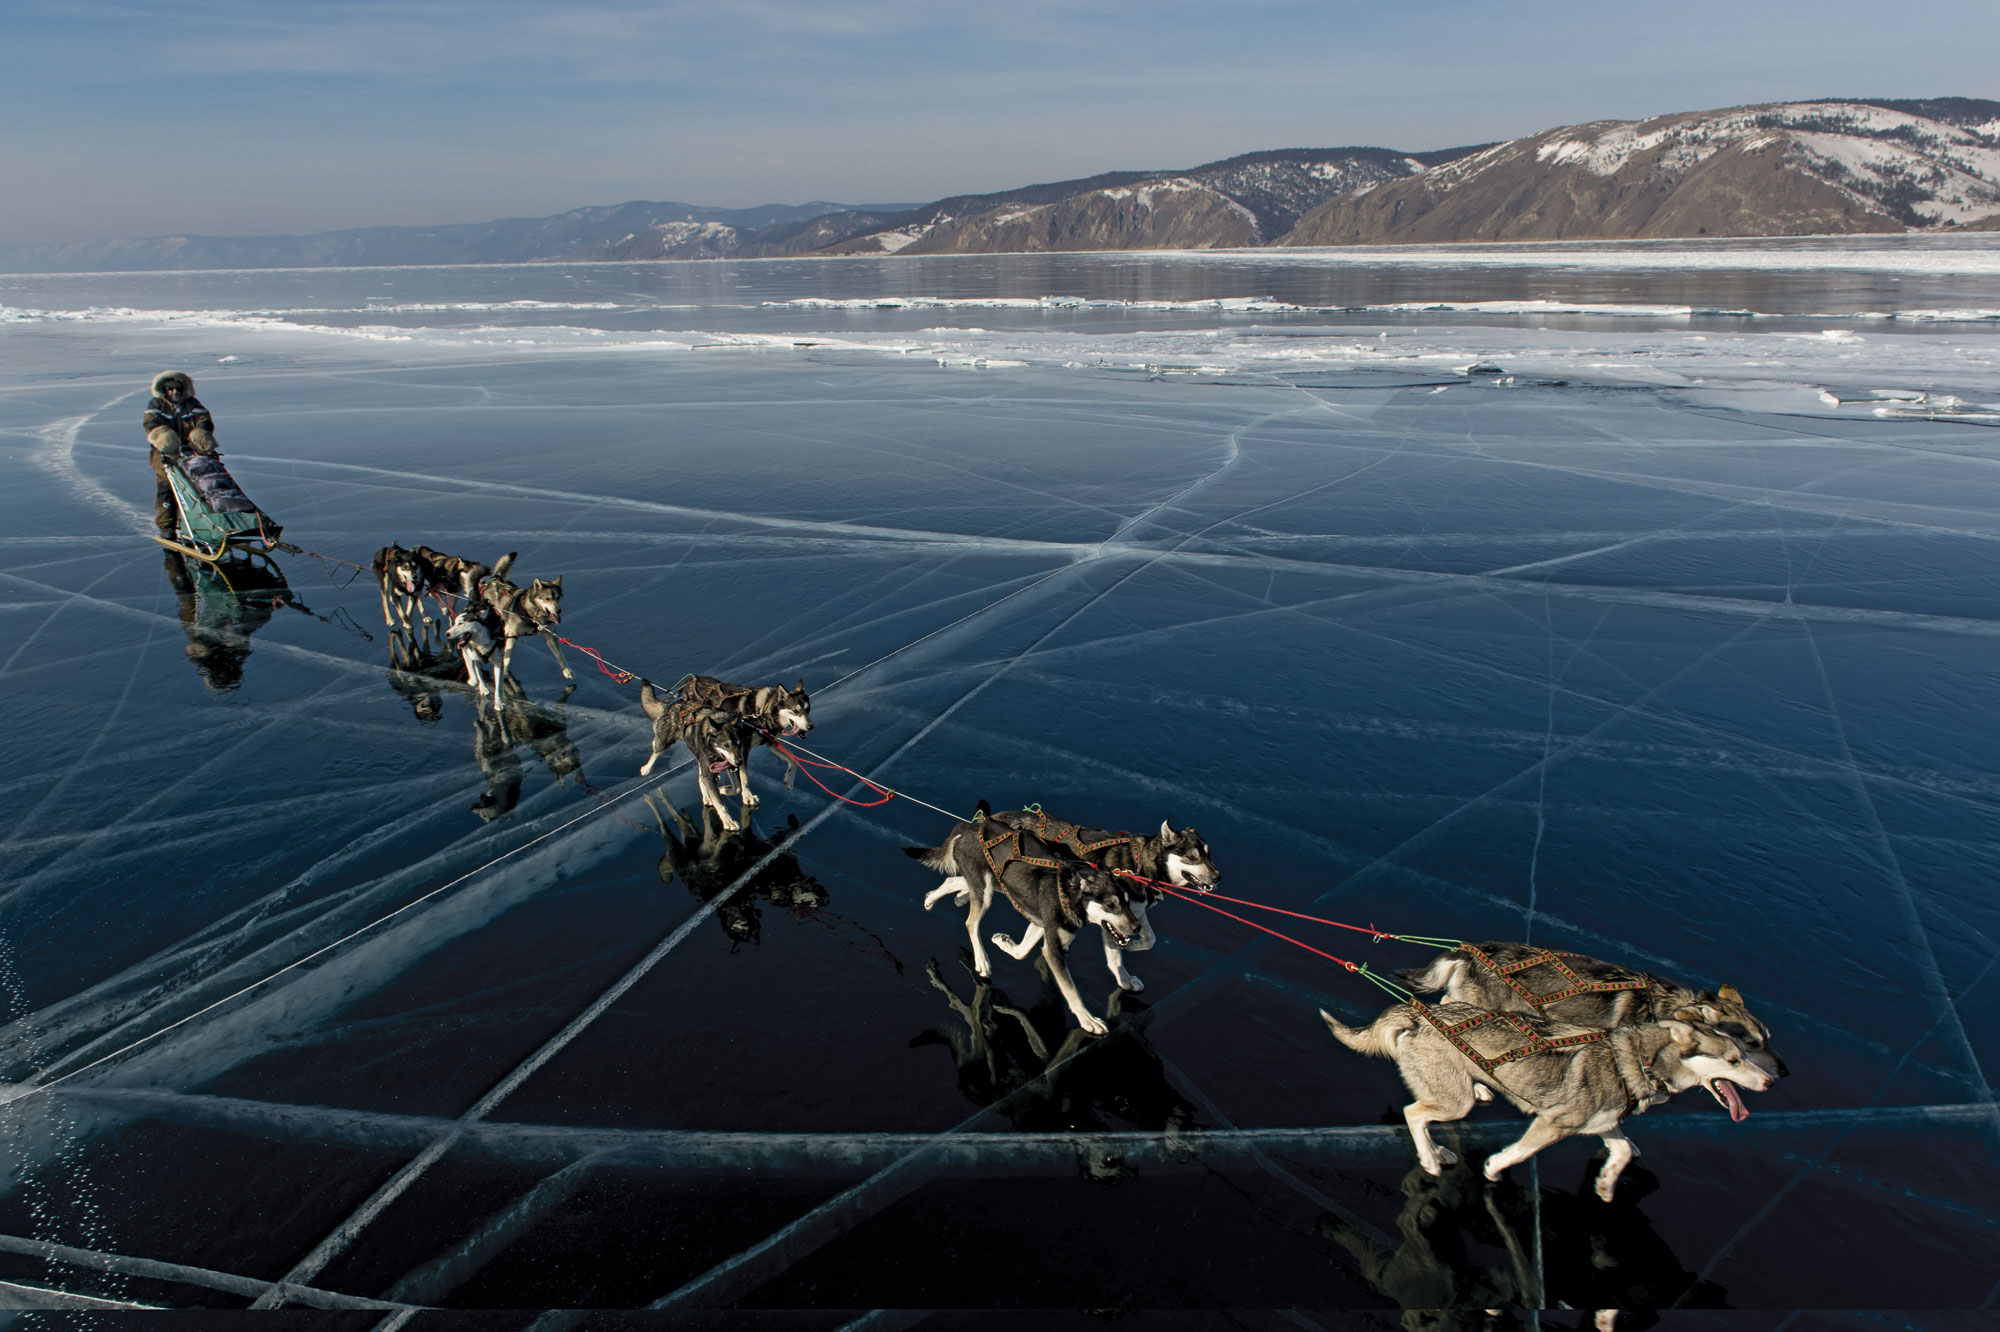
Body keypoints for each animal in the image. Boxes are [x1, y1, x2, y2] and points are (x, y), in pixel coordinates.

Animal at [908, 820, 1144, 1024]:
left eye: (1127, 902)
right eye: (1111, 905)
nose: (1137, 927)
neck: (1069, 893)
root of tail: (971, 826)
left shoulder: (1040, 925)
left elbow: (1021, 952)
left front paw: (1003, 942)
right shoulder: (1054, 949)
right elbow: (1070, 989)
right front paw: (1088, 1020)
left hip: (991, 884)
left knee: (953, 881)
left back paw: (932, 899)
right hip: (986, 892)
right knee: (971, 923)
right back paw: (981, 960)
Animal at [960, 800, 1208, 996]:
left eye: (1209, 854)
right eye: (1193, 857)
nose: (1215, 877)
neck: (1140, 863)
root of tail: (993, 818)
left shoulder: (1133, 911)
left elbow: (1150, 939)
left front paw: (1134, 948)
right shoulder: (1112, 916)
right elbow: (1116, 955)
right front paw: (1125, 977)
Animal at [1328, 1000, 1768, 1200]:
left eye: (1743, 1054)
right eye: (1733, 1060)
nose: (1768, 1081)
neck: (1638, 1059)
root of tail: (1420, 1013)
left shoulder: (1603, 1122)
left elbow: (1624, 1151)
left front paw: (1606, 1184)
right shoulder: (1554, 1123)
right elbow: (1520, 1152)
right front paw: (1493, 1167)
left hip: (1453, 1095)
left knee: (1421, 1114)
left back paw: (1437, 1152)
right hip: (1456, 1101)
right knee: (1413, 1113)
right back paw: (1430, 1160)